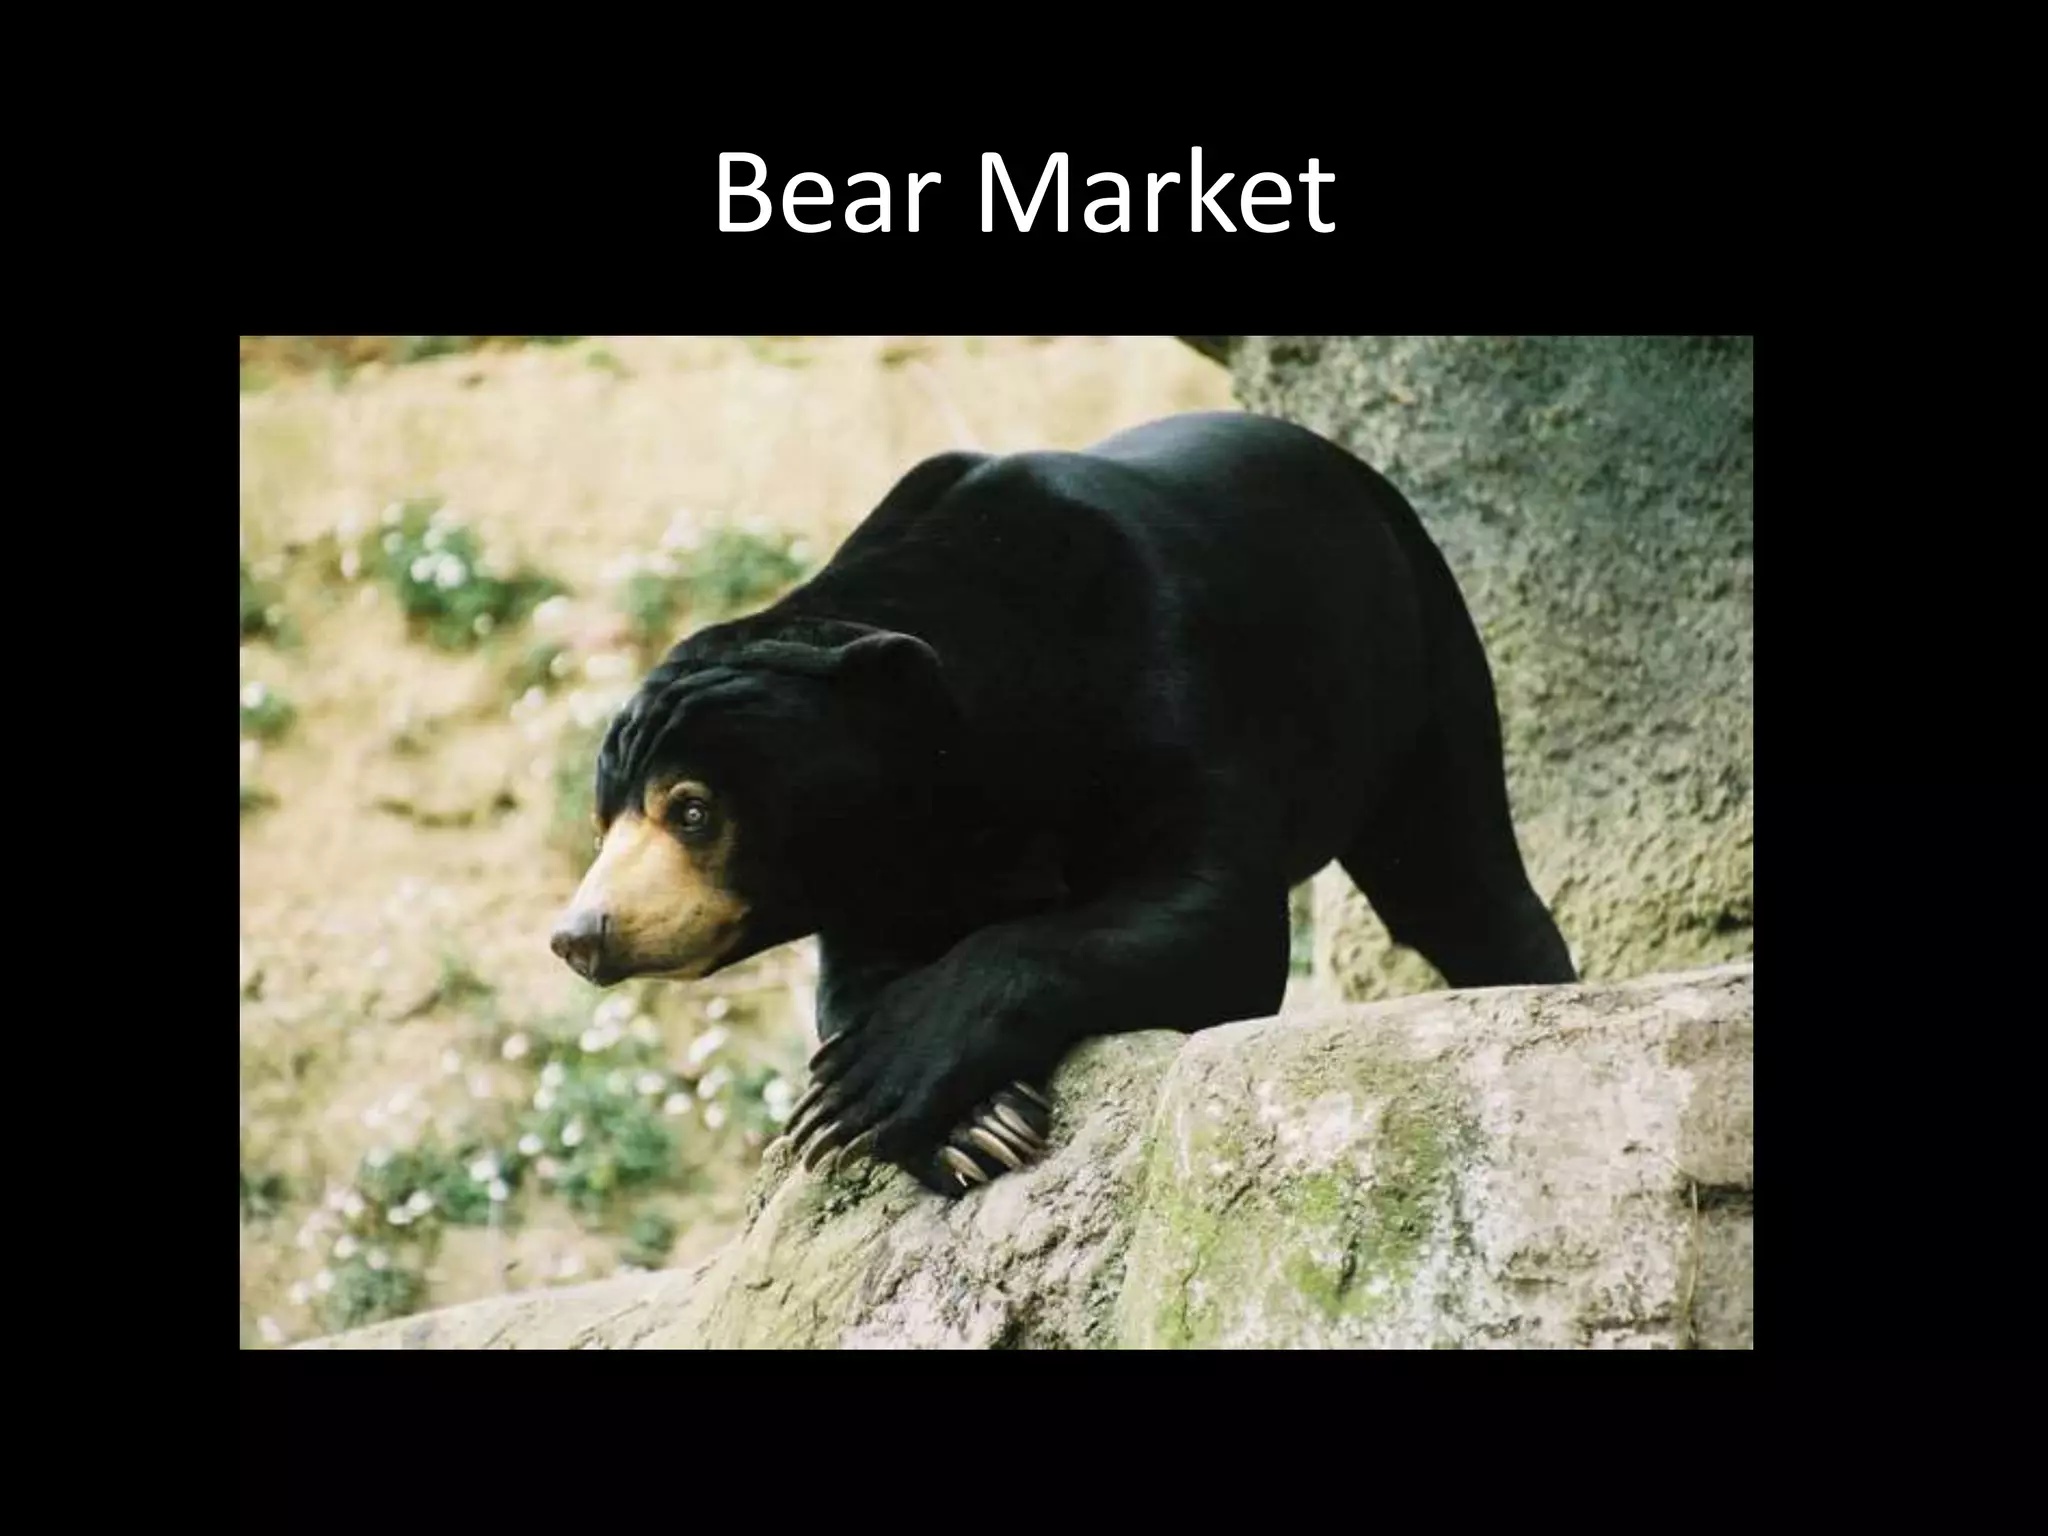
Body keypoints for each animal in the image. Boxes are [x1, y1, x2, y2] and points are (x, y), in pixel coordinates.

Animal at [549, 410, 1575, 1196]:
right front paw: (968, 1128)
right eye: (605, 820)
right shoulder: (881, 867)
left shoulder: (1166, 687)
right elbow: (854, 982)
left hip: (1411, 659)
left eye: (690, 808)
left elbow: (1212, 918)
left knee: (1453, 873)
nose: (581, 934)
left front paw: (876, 1083)